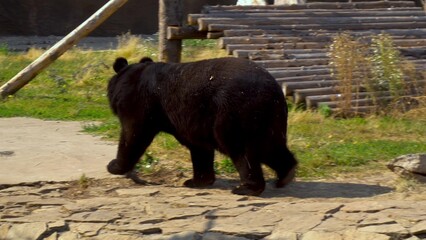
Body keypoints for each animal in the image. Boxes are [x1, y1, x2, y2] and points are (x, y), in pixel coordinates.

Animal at [107, 57, 296, 196]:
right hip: (269, 118)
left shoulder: (140, 102)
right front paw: (197, 181)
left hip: (234, 112)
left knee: (242, 150)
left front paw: (114, 165)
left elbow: (133, 133)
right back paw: (286, 175)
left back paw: (246, 188)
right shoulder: (194, 119)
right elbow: (199, 148)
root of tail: (273, 91)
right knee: (271, 147)